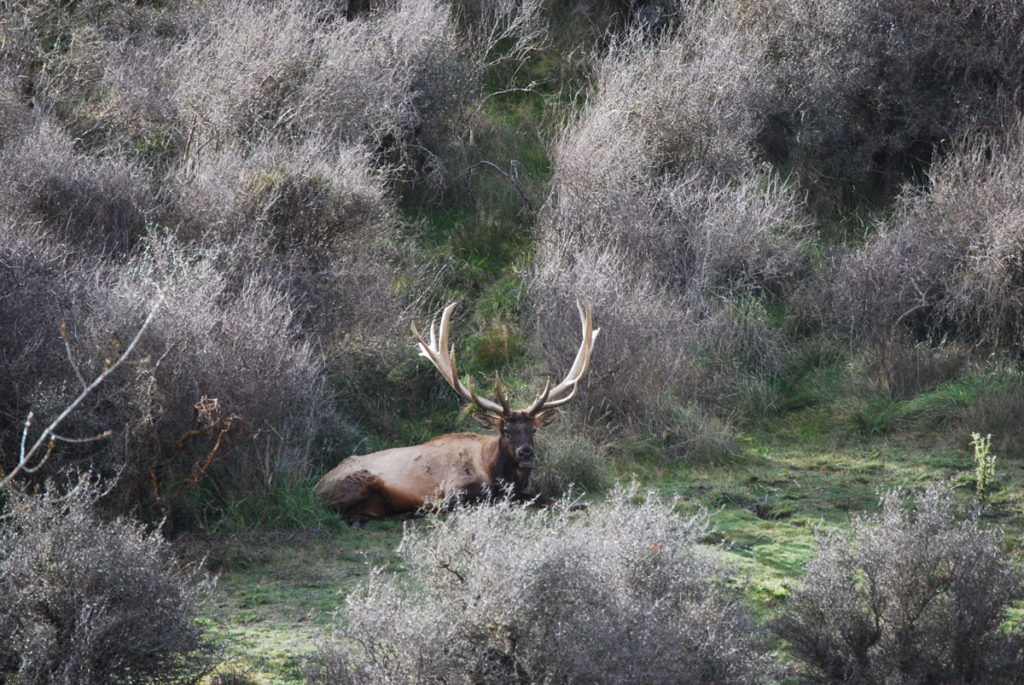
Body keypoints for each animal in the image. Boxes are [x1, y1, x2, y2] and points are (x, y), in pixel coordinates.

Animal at [315, 301, 598, 520]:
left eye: (534, 429)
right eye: (505, 430)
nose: (526, 452)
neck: (495, 471)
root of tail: (316, 488)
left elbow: (546, 497)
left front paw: (578, 503)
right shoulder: (452, 489)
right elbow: (490, 501)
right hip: (359, 481)